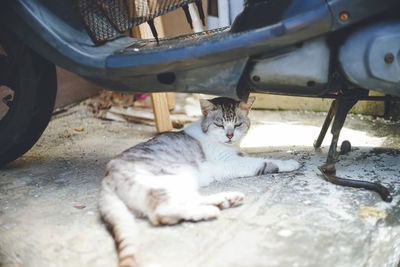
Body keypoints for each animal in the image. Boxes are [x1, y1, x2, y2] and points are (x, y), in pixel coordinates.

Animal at [98, 97, 298, 267]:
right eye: (219, 124)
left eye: (237, 124)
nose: (230, 135)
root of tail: (107, 177)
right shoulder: (228, 162)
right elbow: (263, 162)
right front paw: (289, 162)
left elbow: (249, 155)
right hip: (170, 179)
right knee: (161, 212)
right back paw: (208, 211)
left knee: (187, 200)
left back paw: (226, 199)